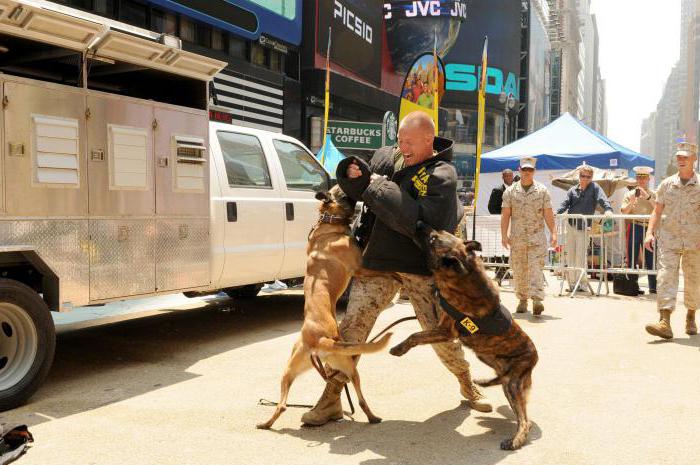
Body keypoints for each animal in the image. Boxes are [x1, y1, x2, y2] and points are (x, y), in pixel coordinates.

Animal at [258, 184, 392, 428]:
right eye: (345, 191)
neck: (329, 222)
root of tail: (320, 341)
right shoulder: (360, 267)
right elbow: (390, 271)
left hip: (308, 370)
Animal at [388, 223, 536, 448]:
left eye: (433, 239)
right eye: (436, 233)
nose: (419, 223)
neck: (463, 273)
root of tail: (535, 356)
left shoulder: (445, 331)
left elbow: (416, 335)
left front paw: (399, 348)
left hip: (513, 385)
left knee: (525, 420)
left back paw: (516, 440)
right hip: (494, 364)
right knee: (501, 380)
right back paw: (483, 382)